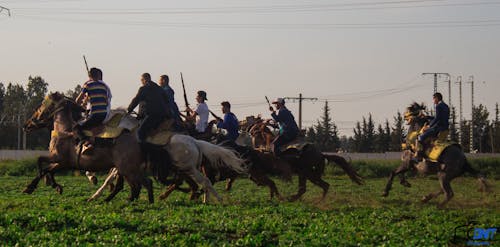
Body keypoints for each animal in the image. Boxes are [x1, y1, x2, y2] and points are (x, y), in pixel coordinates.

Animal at [22, 92, 154, 203]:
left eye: (40, 108)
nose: (26, 125)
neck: (64, 130)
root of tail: (137, 139)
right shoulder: (63, 162)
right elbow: (48, 170)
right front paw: (54, 186)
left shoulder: (58, 157)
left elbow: (40, 162)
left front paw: (35, 186)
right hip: (126, 169)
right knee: (135, 184)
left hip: (127, 168)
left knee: (140, 184)